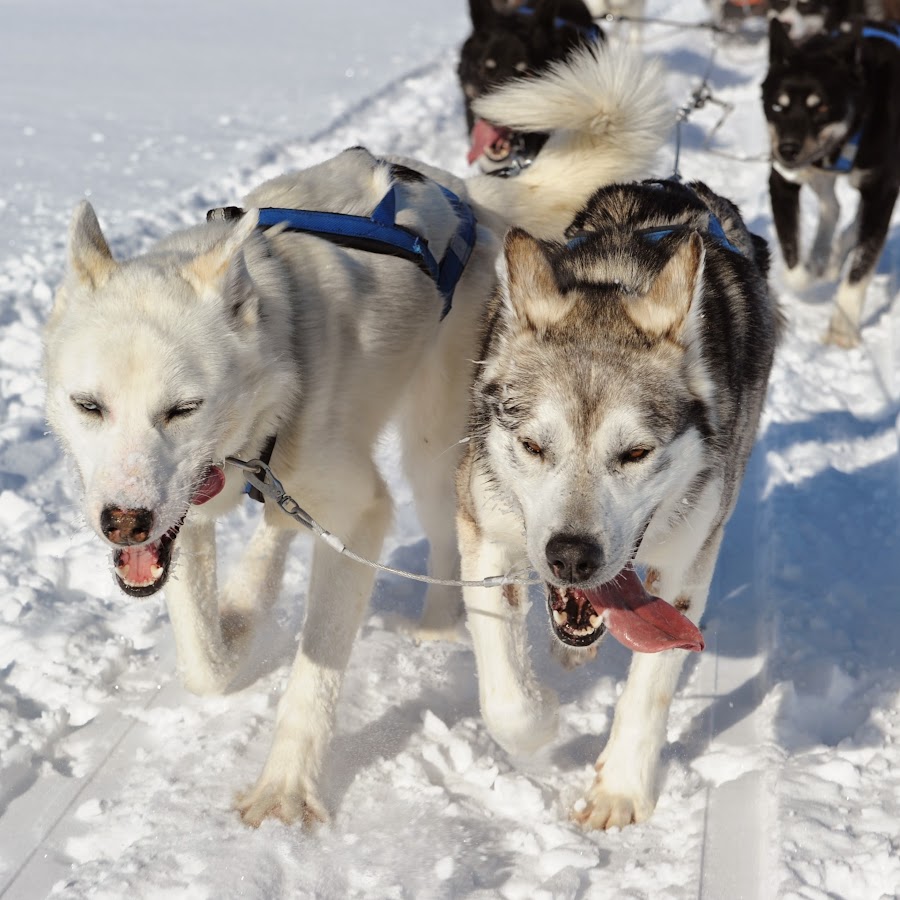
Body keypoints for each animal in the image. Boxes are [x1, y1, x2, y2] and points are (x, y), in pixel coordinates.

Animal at [45, 44, 672, 828]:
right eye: (89, 405)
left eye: (183, 408)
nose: (122, 521)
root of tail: (472, 199)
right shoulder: (187, 519)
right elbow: (203, 661)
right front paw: (238, 623)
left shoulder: (363, 515)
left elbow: (314, 671)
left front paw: (286, 786)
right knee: (279, 530)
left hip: (431, 452)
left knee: (439, 531)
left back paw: (436, 625)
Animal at [458, 178, 780, 828]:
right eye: (533, 446)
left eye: (635, 453)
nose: (571, 557)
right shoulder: (484, 530)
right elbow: (507, 698)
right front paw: (542, 717)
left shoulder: (685, 567)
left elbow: (650, 687)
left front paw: (623, 790)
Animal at [760, 20, 900, 348]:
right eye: (777, 106)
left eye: (821, 107)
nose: (787, 149)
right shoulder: (782, 182)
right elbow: (793, 263)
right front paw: (811, 273)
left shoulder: (881, 191)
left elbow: (860, 270)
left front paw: (842, 330)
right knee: (832, 206)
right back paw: (823, 256)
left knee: (849, 222)